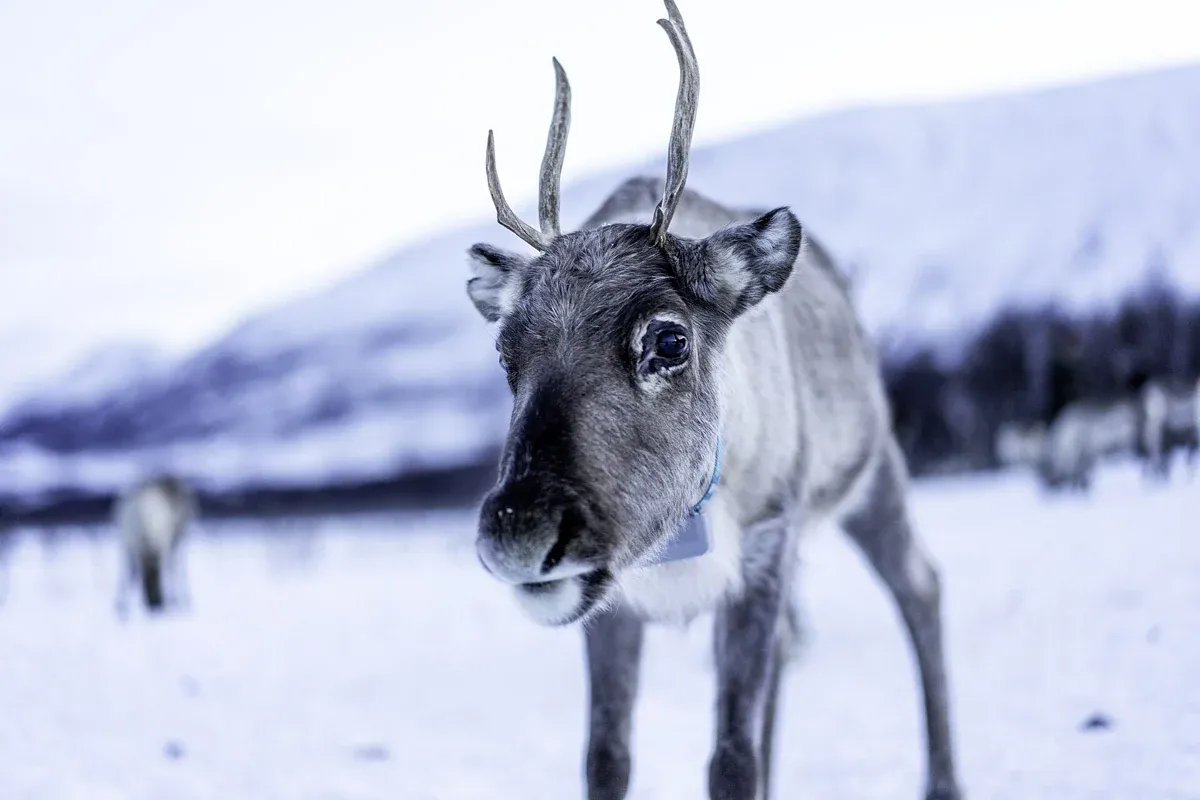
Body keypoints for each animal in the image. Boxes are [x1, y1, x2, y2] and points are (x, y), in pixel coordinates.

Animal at [463, 3, 963, 799]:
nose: (517, 537)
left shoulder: (763, 550)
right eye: (506, 353)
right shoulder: (612, 601)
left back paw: (944, 781)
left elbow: (732, 761)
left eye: (669, 340)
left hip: (875, 471)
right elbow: (607, 758)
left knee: (921, 589)